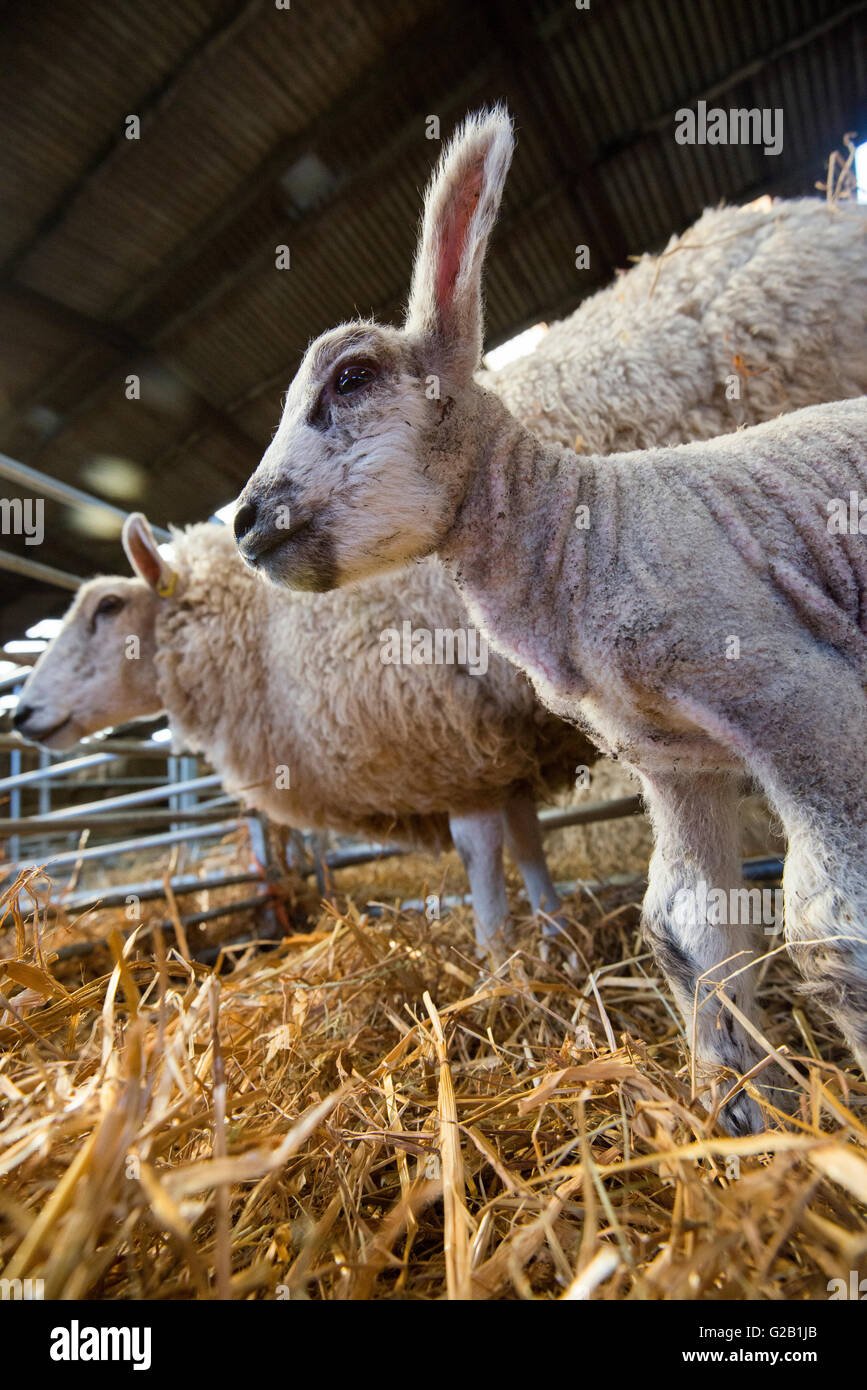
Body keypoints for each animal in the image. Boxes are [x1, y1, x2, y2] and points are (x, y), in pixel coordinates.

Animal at [14, 513, 594, 951]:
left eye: (109, 606)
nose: (21, 714)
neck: (265, 631)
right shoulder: (502, 747)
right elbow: (528, 842)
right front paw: (559, 941)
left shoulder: (450, 743)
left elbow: (483, 858)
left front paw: (500, 971)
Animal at [233, 107, 867, 1134]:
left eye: (351, 378)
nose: (245, 522)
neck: (582, 532)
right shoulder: (673, 759)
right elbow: (688, 927)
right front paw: (736, 1113)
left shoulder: (798, 697)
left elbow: (830, 924)